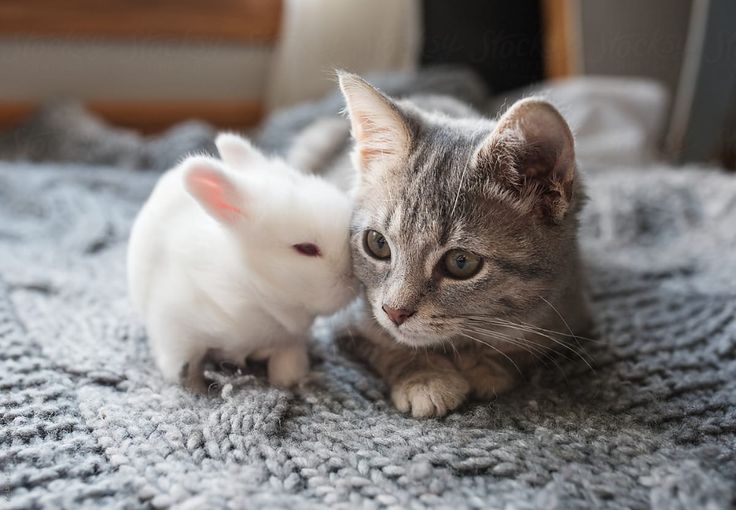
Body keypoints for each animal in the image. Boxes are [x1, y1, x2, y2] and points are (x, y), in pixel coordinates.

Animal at [128, 133, 358, 392]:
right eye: (307, 249)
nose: (354, 278)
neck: (254, 292)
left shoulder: (290, 341)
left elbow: (288, 366)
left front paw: (290, 382)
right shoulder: (175, 331)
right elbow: (185, 368)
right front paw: (196, 389)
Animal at [290, 73, 588, 416]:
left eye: (461, 262)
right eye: (377, 244)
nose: (395, 312)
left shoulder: (568, 315)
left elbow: (523, 349)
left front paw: (485, 364)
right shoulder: (343, 320)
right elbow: (388, 345)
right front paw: (426, 378)